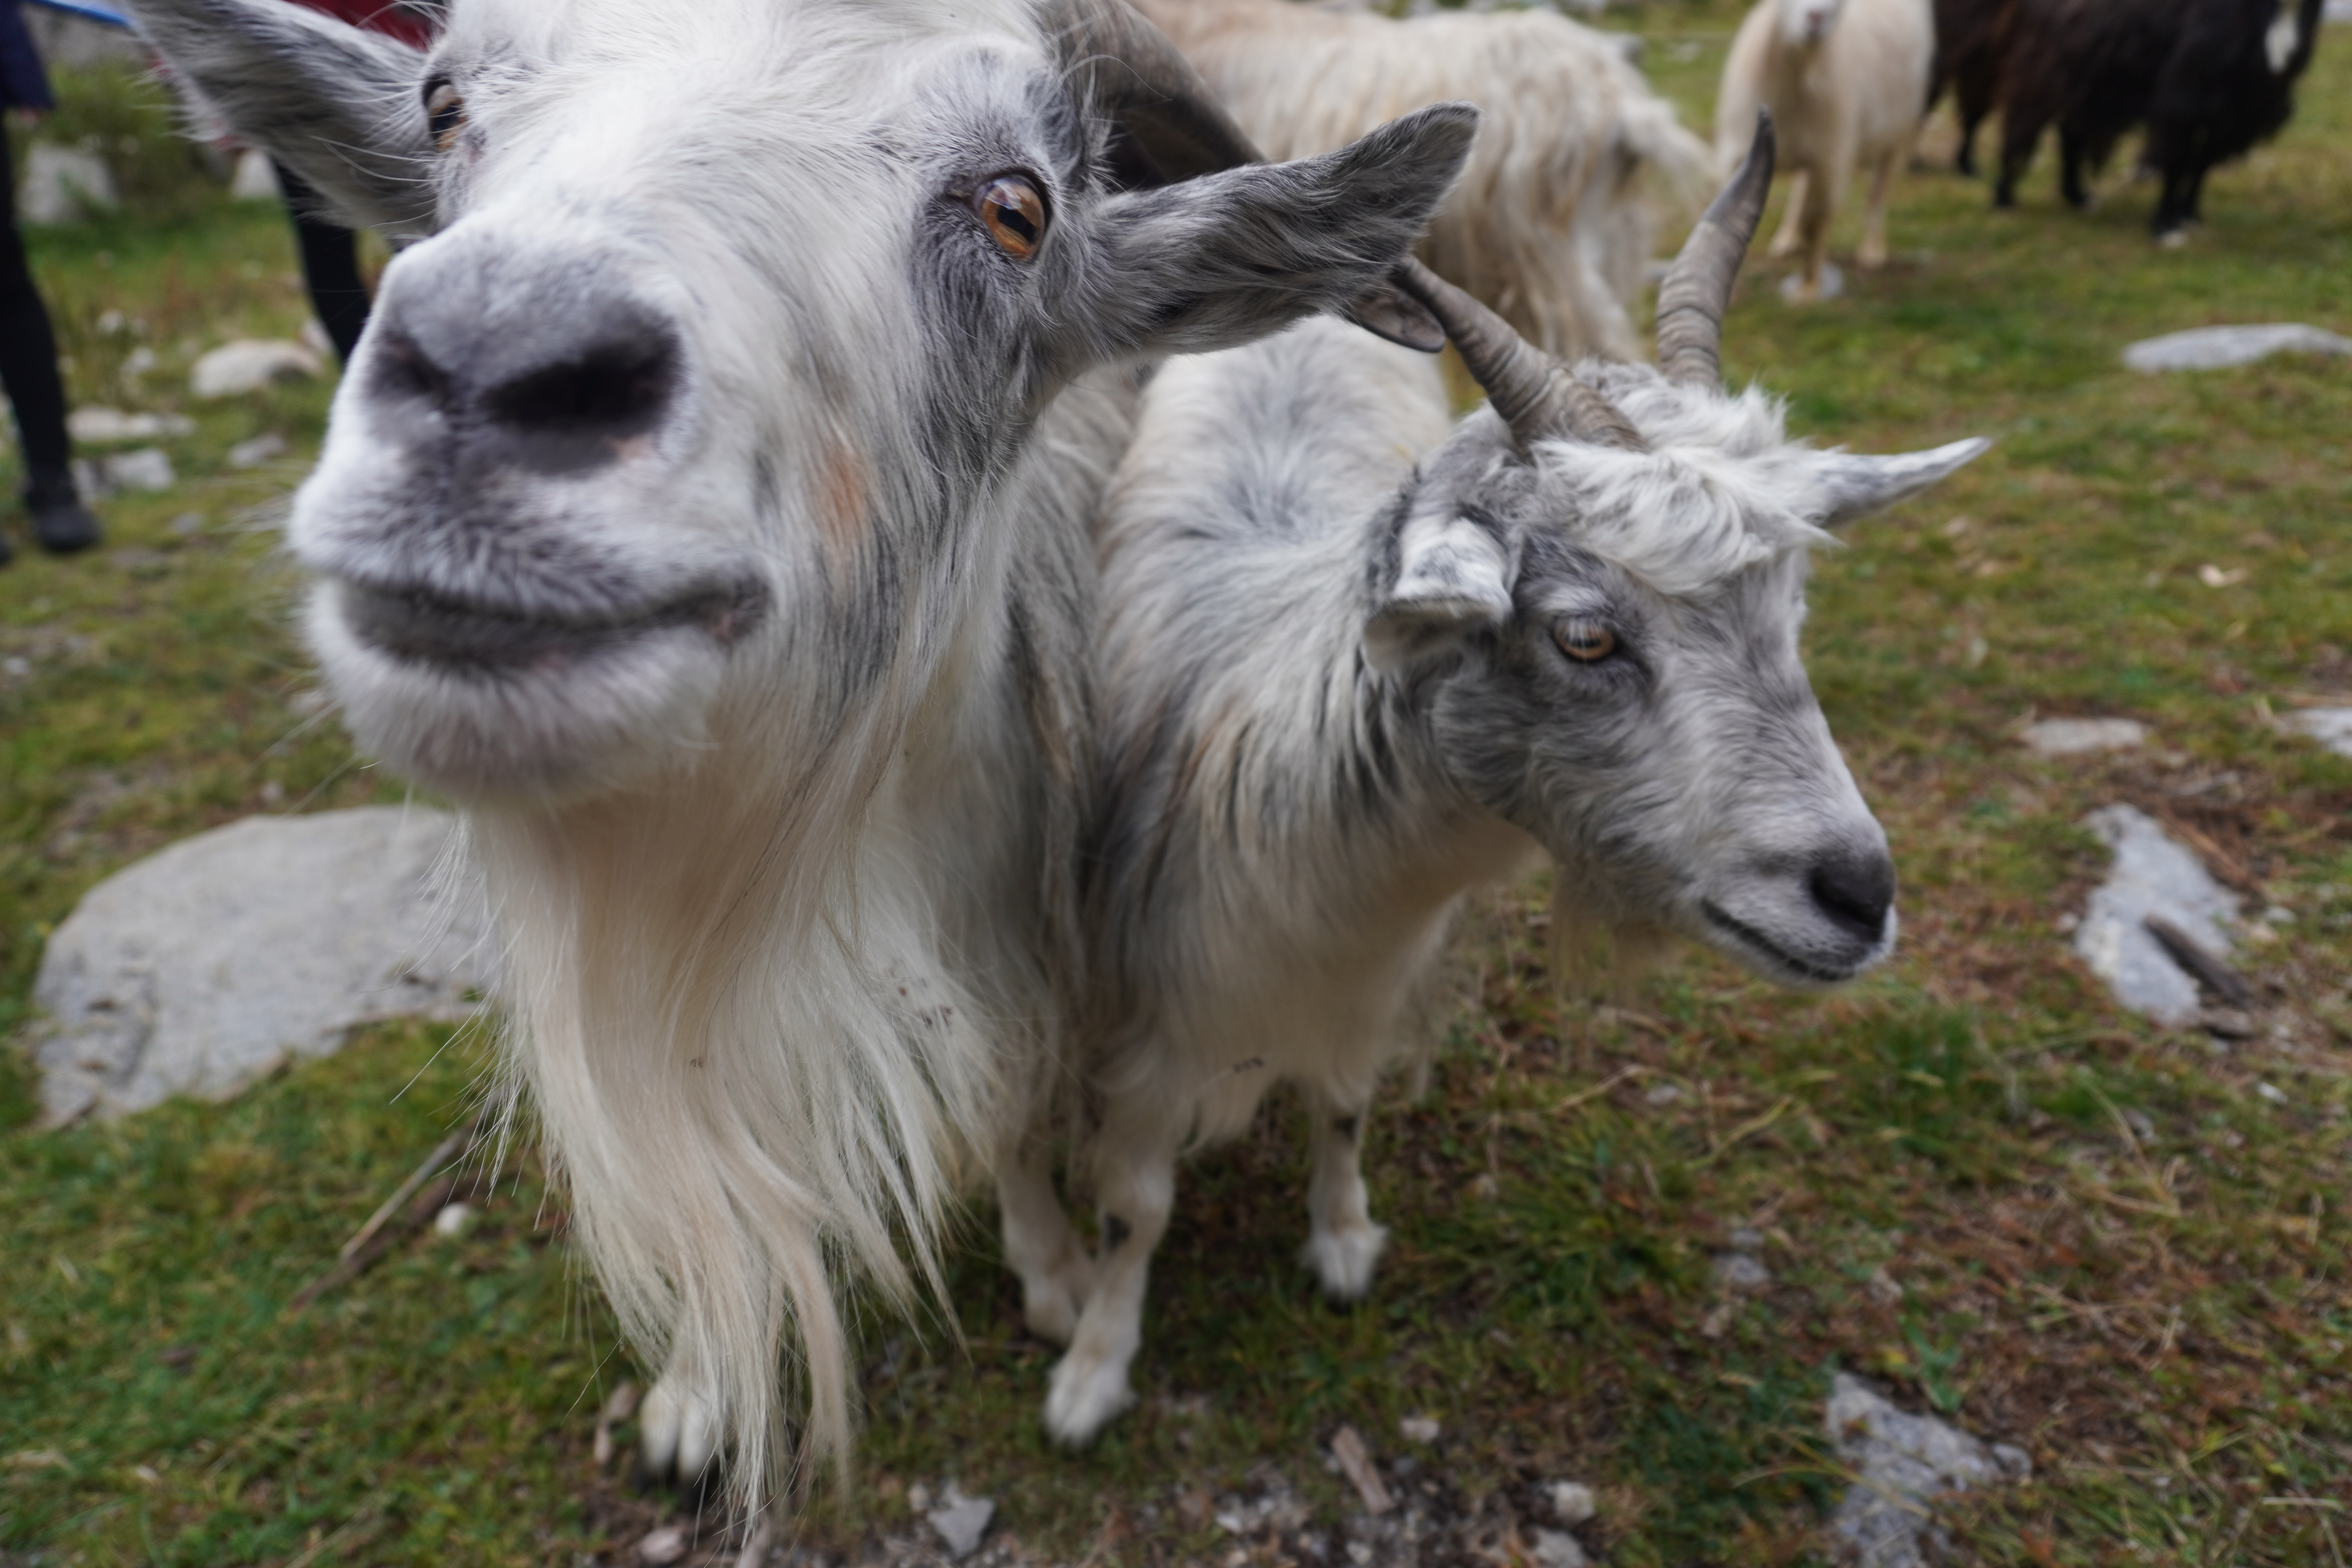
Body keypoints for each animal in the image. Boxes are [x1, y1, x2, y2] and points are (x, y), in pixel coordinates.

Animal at [127, 0, 1476, 1504]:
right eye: (443, 106)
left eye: (1018, 208)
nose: (490, 359)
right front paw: (695, 1394)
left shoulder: (1018, 935)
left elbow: (1011, 1110)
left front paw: (1056, 1281)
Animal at [1007, 118, 1989, 1446]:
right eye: (1584, 636)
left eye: (1793, 606)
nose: (1857, 893)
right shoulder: (1145, 1038)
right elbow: (1136, 1213)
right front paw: (1092, 1374)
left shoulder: (1367, 995)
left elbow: (1346, 1107)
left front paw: (1344, 1240)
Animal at [1716, 0, 1935, 300]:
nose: (1815, 18)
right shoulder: (1741, 156)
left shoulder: (1829, 157)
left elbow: (1815, 221)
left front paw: (1809, 288)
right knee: (1801, 185)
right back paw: (1788, 238)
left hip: (1897, 132)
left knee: (1879, 189)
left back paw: (1872, 251)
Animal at [1993, 0, 2323, 240]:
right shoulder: (2183, 96)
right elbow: (2178, 162)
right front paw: (2165, 227)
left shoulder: (2234, 108)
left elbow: (2201, 165)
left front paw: (2189, 215)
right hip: (2043, 69)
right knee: (2021, 127)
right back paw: (2003, 200)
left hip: (2088, 80)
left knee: (2069, 132)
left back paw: (2078, 197)